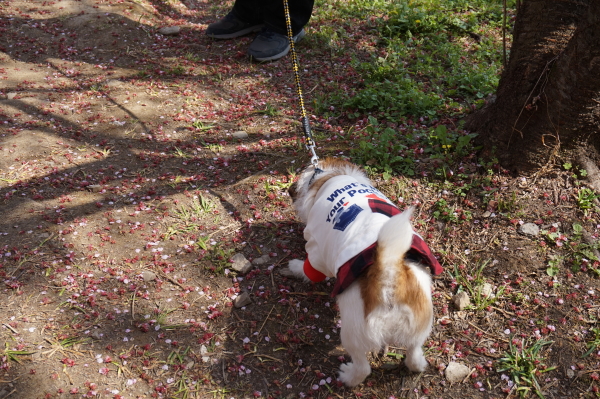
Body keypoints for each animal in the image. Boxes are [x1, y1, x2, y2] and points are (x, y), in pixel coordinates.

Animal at [286, 159, 440, 388]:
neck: (326, 176)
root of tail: (388, 272)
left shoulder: (316, 249)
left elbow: (310, 268)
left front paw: (296, 267)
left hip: (352, 334)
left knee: (363, 368)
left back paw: (347, 376)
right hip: (420, 327)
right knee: (413, 354)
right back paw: (419, 364)